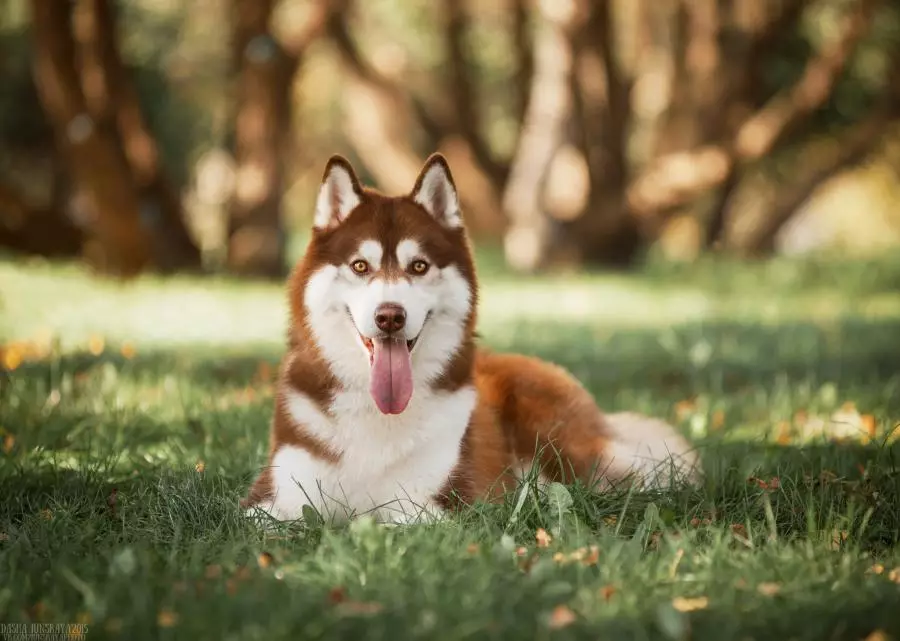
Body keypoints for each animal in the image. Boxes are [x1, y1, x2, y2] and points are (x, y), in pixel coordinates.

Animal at [243, 152, 700, 524]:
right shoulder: (269, 500)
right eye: (359, 266)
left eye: (419, 266)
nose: (390, 316)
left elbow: (386, 520)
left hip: (561, 438)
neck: (378, 415)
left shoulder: (444, 506)